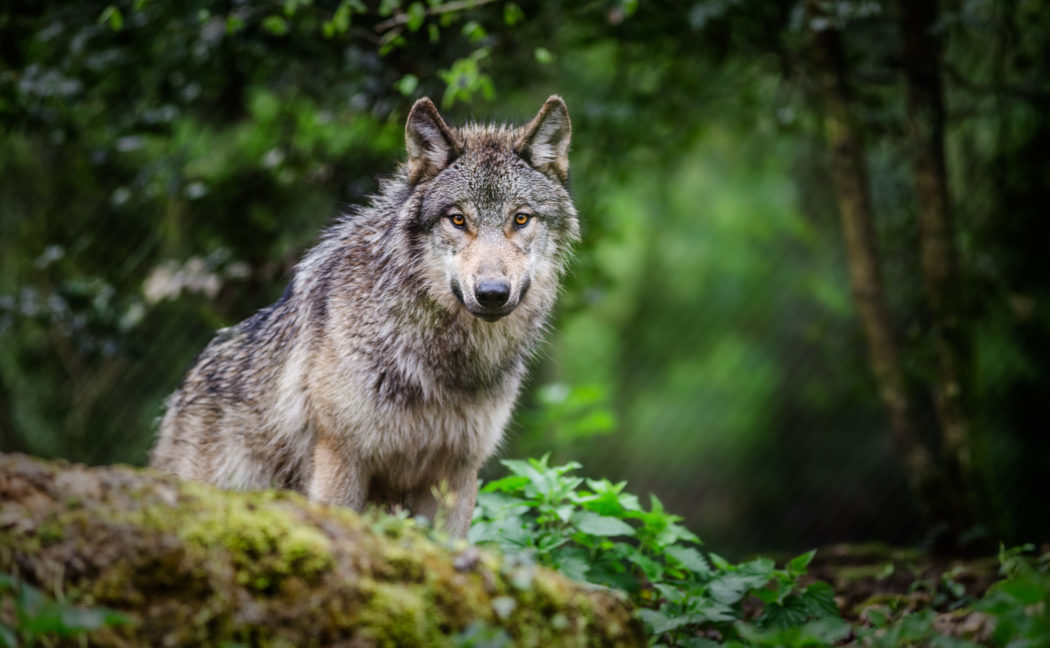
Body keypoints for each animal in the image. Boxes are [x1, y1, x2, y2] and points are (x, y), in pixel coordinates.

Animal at [149, 96, 578, 537]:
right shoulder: (341, 458)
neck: (441, 362)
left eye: (521, 219)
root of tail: (184, 389)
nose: (492, 294)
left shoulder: (457, 473)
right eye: (458, 219)